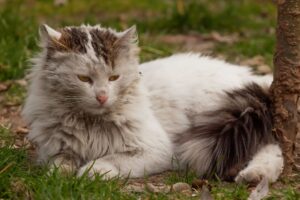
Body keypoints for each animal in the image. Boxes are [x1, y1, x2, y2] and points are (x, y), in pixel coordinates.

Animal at [21, 24, 284, 184]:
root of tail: (252, 77)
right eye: (84, 79)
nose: (102, 96)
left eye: (114, 77)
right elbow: (59, 163)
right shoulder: (54, 150)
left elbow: (112, 159)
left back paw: (254, 175)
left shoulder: (157, 150)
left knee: (271, 147)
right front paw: (60, 175)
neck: (90, 124)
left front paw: (91, 171)